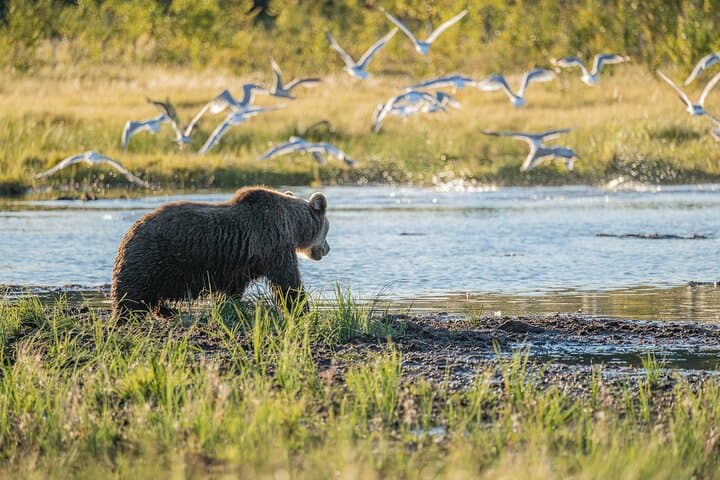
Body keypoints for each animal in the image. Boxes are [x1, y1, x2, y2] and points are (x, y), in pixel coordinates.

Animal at [111, 186, 330, 319]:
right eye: (328, 228)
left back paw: (167, 310)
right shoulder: (272, 242)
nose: (327, 249)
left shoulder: (241, 262)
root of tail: (129, 234)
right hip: (152, 258)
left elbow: (233, 289)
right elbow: (287, 281)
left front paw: (228, 305)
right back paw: (128, 315)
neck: (293, 226)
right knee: (133, 294)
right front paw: (303, 310)